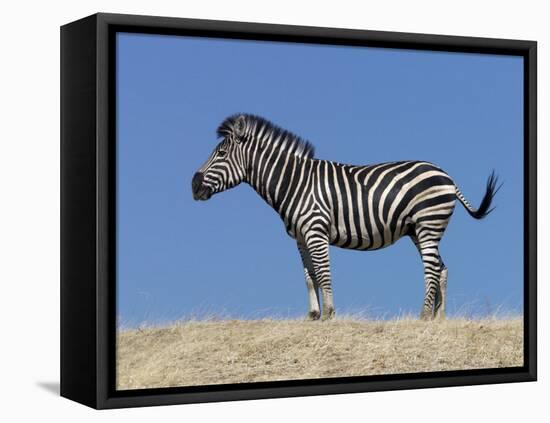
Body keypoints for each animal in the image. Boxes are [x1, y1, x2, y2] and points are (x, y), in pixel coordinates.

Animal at [193, 113, 500, 322]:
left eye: (221, 153)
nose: (193, 186)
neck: (294, 183)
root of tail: (447, 176)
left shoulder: (316, 230)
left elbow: (323, 272)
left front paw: (329, 313)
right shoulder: (300, 237)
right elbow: (309, 276)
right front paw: (313, 315)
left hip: (428, 224)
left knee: (433, 268)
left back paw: (424, 315)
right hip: (419, 229)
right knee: (442, 268)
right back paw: (439, 318)